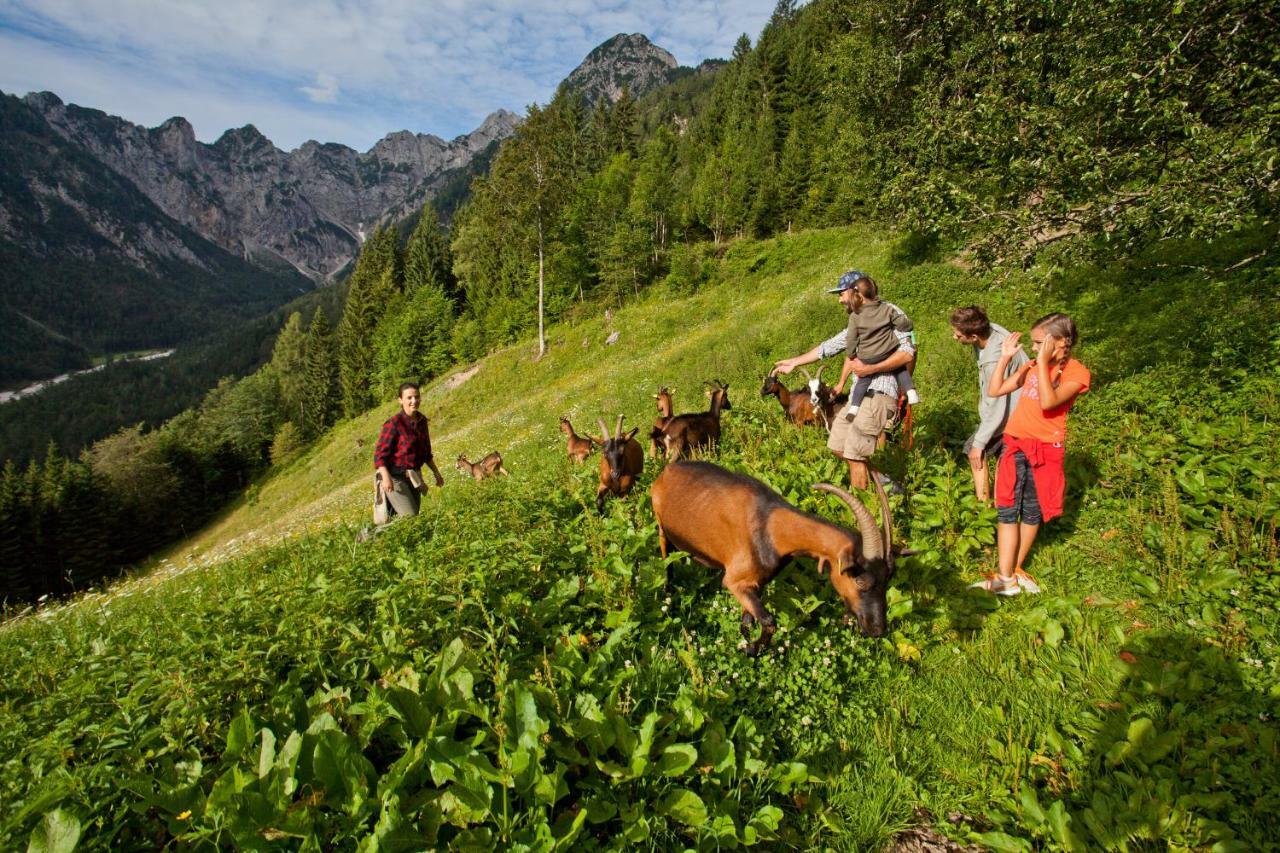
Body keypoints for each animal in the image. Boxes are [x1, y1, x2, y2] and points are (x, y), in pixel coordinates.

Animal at [655, 458, 896, 650]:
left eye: (887, 579)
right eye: (860, 580)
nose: (877, 630)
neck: (770, 524)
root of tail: (667, 470)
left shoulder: (756, 582)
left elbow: (749, 618)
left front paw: (745, 640)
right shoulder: (734, 581)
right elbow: (769, 621)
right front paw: (752, 649)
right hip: (660, 524)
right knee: (666, 556)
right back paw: (669, 592)